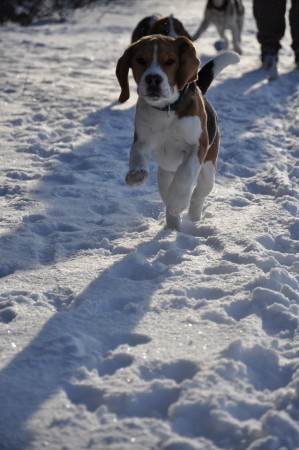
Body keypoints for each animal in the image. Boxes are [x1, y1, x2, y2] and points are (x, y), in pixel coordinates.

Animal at [116, 35, 240, 230]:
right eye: (141, 60)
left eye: (170, 61)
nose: (153, 79)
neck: (166, 110)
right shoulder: (142, 140)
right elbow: (136, 153)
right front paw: (136, 174)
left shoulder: (197, 146)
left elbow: (186, 172)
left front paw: (177, 201)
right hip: (164, 174)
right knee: (167, 192)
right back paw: (173, 225)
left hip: (208, 168)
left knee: (199, 192)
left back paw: (192, 215)